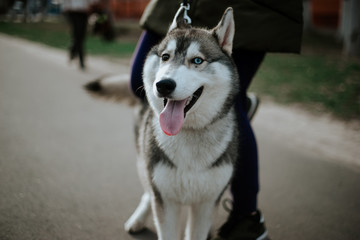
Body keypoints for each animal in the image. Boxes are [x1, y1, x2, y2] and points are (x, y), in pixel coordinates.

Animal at [86, 6, 240, 239]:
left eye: (197, 60)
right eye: (166, 57)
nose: (164, 85)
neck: (189, 133)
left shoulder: (206, 204)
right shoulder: (165, 199)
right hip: (143, 161)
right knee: (148, 192)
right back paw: (138, 218)